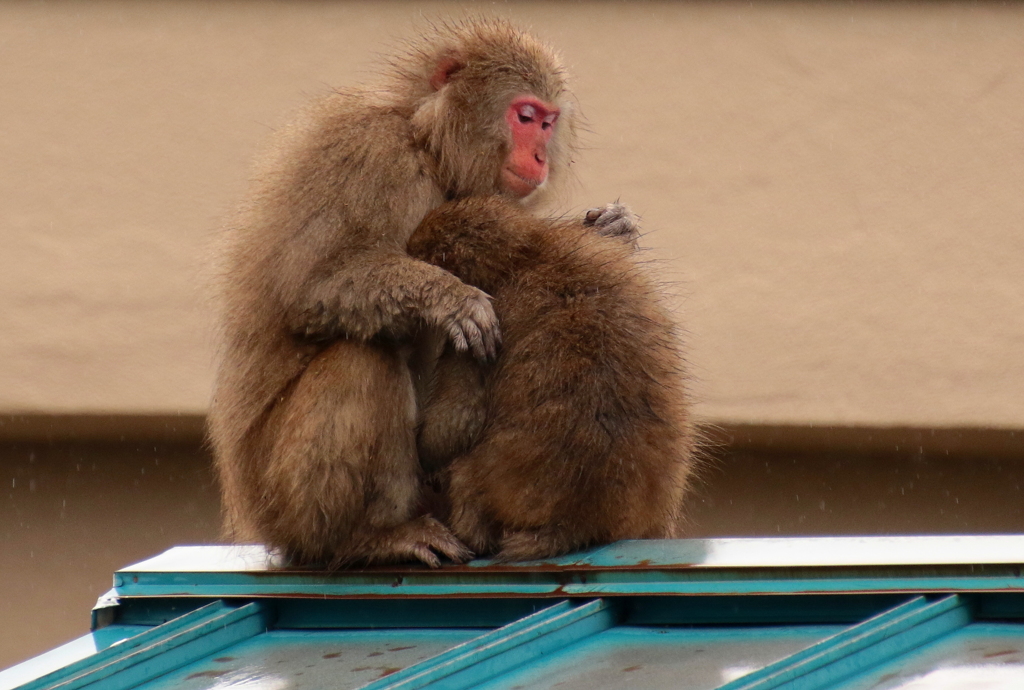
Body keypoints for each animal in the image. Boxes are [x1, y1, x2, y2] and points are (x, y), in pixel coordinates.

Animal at [206, 18, 593, 565]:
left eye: (548, 123)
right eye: (525, 116)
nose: (539, 156)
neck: (425, 143)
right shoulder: (375, 155)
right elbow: (310, 289)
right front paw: (448, 298)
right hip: (279, 501)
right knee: (361, 357)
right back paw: (364, 536)